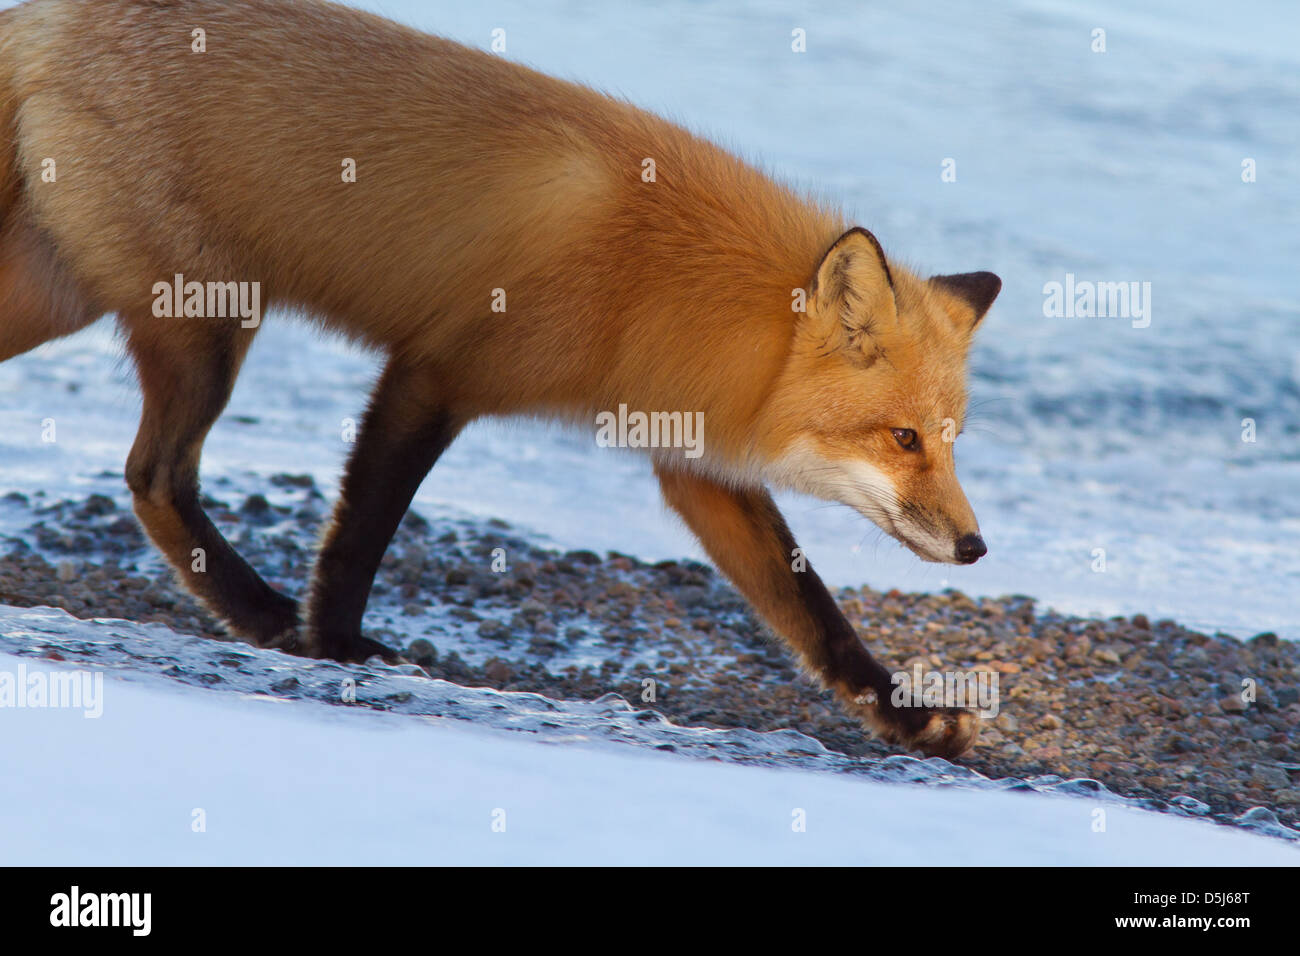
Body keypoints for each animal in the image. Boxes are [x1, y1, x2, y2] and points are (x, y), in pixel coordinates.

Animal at [0, 1, 993, 764]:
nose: (977, 547)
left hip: (62, 301)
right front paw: (336, 645)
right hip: (207, 327)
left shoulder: (695, 466)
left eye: (950, 441)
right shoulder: (436, 374)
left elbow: (812, 614)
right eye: (903, 438)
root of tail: (57, 18)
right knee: (155, 477)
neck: (662, 278)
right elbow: (358, 538)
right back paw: (260, 610)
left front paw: (907, 718)